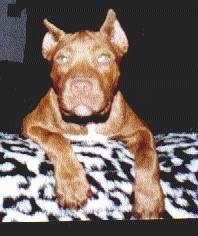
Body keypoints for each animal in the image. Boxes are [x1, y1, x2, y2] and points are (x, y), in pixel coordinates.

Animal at [21, 9, 164, 219]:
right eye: (62, 59)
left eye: (103, 58)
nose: (80, 86)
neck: (88, 122)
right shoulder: (31, 124)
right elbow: (56, 138)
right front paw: (72, 184)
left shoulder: (141, 130)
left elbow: (148, 156)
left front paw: (149, 199)